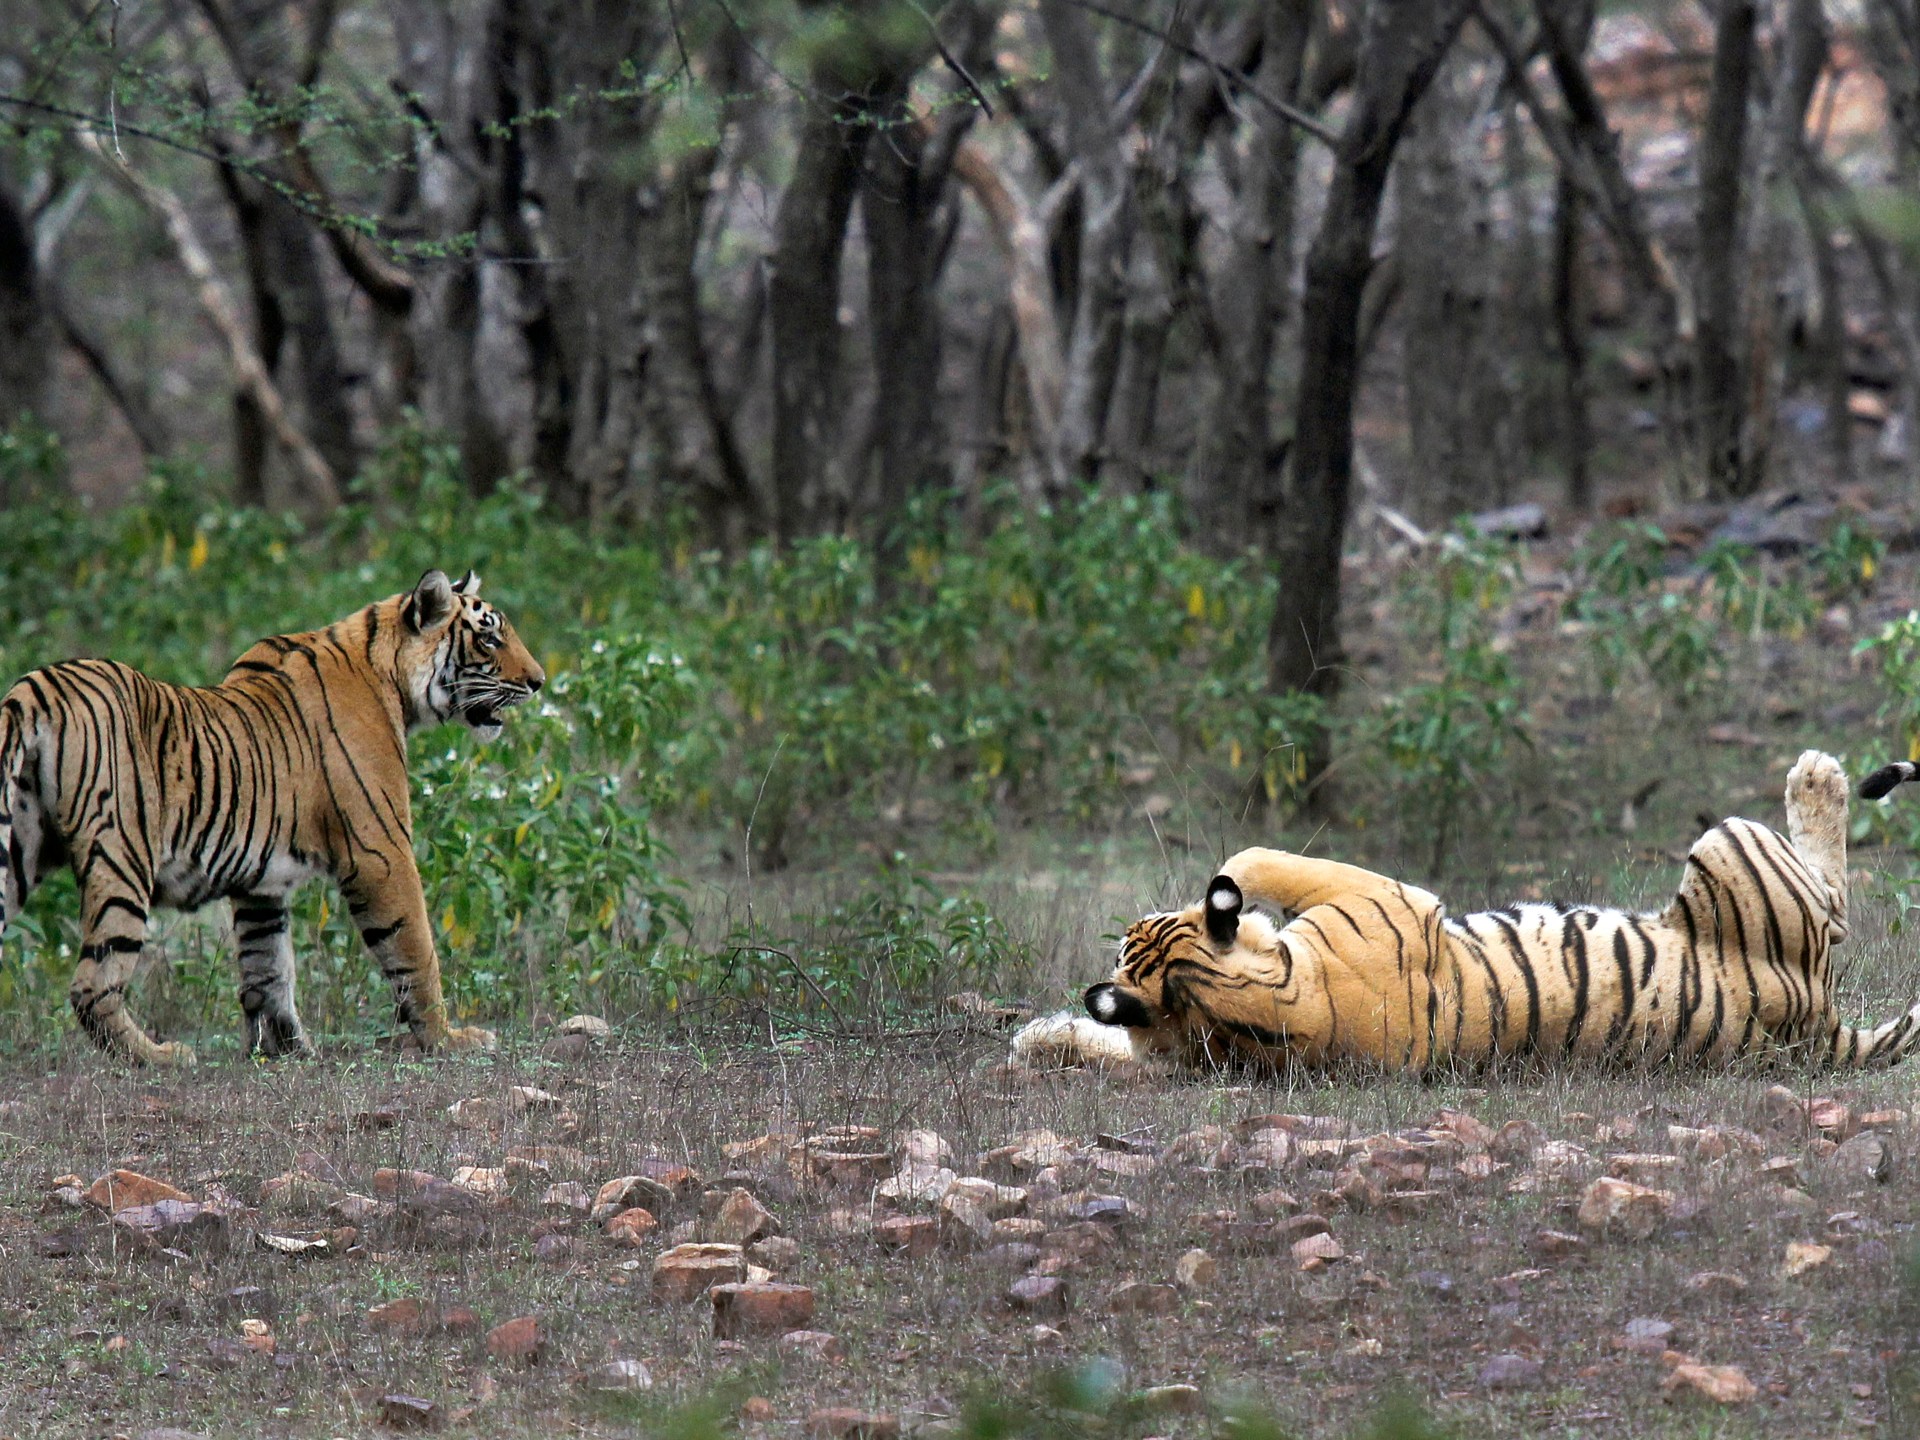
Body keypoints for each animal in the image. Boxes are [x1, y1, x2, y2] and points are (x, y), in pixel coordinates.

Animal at [0, 569, 544, 1065]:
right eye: (490, 637)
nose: (538, 682)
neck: (390, 675)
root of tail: (34, 688)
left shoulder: (260, 885)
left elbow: (268, 967)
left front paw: (284, 1049)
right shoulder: (381, 852)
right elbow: (415, 951)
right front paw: (448, 1039)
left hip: (18, 853)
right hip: (121, 857)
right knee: (93, 983)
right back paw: (160, 1056)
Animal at [1013, 750, 1920, 1073]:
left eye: (1132, 938)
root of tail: (1816, 1025)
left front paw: (1040, 1037)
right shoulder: (1388, 895)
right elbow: (1251, 863)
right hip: (1730, 844)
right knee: (1836, 901)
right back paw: (1818, 773)